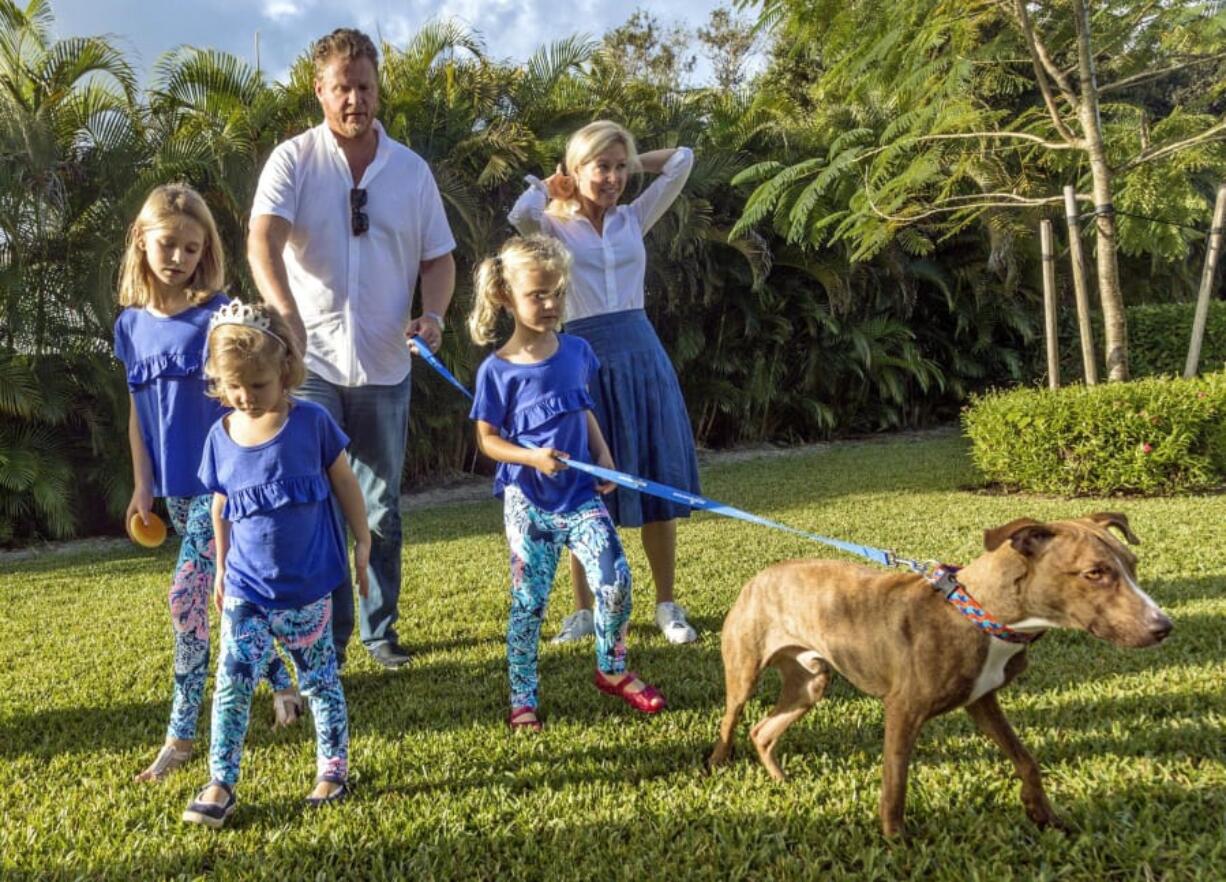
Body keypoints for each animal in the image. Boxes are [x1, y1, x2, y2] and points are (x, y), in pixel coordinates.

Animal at [715, 510, 1172, 834]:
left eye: (1133, 564)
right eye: (1094, 573)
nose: (1163, 626)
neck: (981, 614)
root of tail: (760, 576)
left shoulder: (983, 701)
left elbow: (1026, 759)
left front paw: (1044, 816)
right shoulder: (904, 711)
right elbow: (895, 785)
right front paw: (897, 842)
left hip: (810, 683)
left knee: (762, 730)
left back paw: (780, 780)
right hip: (745, 671)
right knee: (731, 719)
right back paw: (717, 765)